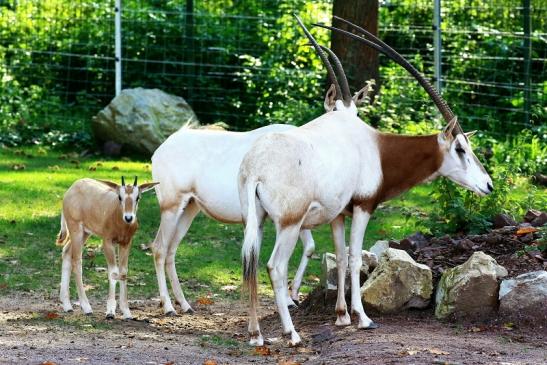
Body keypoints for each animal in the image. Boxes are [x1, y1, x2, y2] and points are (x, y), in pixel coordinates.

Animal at [57, 177, 157, 318]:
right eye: (120, 197)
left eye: (138, 197)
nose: (129, 217)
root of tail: (72, 188)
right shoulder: (107, 242)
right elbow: (113, 272)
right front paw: (110, 311)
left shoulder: (126, 243)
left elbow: (123, 272)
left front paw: (126, 311)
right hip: (76, 229)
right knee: (76, 261)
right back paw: (86, 307)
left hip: (85, 233)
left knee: (66, 251)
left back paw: (67, 305)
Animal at [238, 15, 494, 346]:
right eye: (460, 148)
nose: (488, 185)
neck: (377, 148)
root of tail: (256, 165)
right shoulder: (363, 206)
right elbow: (356, 259)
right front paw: (363, 319)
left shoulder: (337, 214)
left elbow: (341, 257)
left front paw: (341, 316)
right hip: (289, 224)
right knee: (275, 267)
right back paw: (291, 334)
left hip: (254, 221)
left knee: (251, 263)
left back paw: (256, 334)